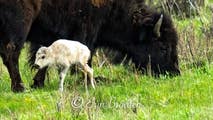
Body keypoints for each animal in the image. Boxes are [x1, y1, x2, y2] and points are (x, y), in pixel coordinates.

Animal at [0, 0, 180, 92]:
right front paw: (90, 82)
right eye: (163, 48)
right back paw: (19, 87)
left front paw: (38, 83)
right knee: (11, 53)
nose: (174, 72)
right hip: (20, 23)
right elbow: (87, 57)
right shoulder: (88, 28)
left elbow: (44, 59)